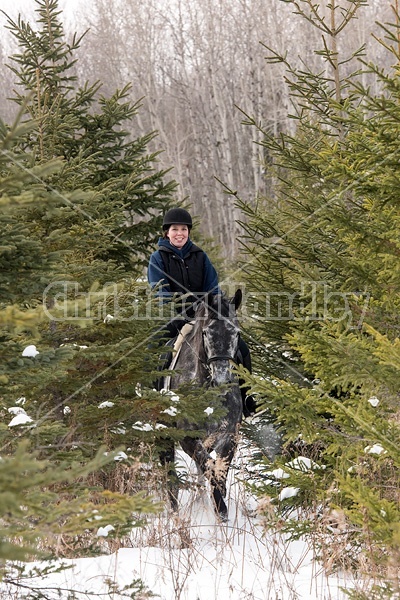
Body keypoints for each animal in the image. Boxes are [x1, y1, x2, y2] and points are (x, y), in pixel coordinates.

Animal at [159, 290, 241, 520]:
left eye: (236, 333)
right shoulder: (187, 438)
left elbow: (219, 471)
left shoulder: (228, 437)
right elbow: (208, 468)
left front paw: (221, 510)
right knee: (170, 474)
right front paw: (220, 509)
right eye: (206, 333)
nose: (222, 381)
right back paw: (174, 512)